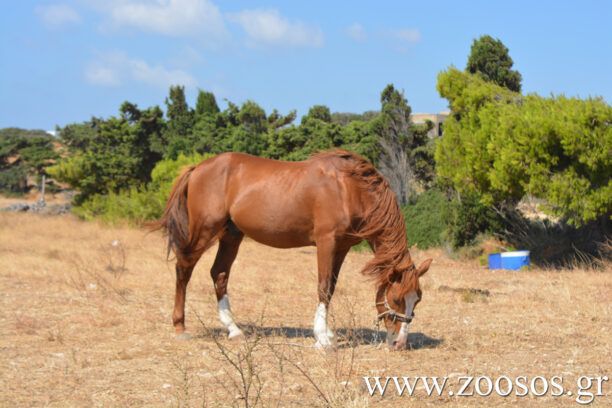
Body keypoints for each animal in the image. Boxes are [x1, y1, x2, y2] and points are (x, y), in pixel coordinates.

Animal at [154, 151, 430, 350]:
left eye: (416, 300)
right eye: (397, 299)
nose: (399, 343)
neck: (349, 188)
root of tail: (197, 168)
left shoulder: (341, 248)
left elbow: (331, 287)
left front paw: (327, 333)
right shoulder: (327, 242)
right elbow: (323, 287)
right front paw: (323, 339)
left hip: (231, 235)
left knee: (219, 274)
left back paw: (233, 329)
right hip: (203, 231)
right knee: (184, 269)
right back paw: (180, 327)